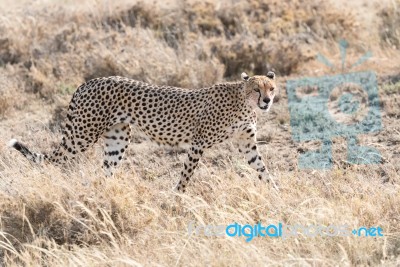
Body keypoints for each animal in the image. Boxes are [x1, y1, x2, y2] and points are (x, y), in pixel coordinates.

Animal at [9, 71, 278, 193]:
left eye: (271, 88)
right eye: (256, 89)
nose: (266, 101)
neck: (243, 102)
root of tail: (89, 81)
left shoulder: (246, 143)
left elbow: (261, 167)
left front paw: (275, 191)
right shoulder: (199, 143)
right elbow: (186, 174)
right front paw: (178, 196)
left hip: (117, 138)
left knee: (106, 170)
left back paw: (107, 194)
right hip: (82, 134)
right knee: (53, 160)